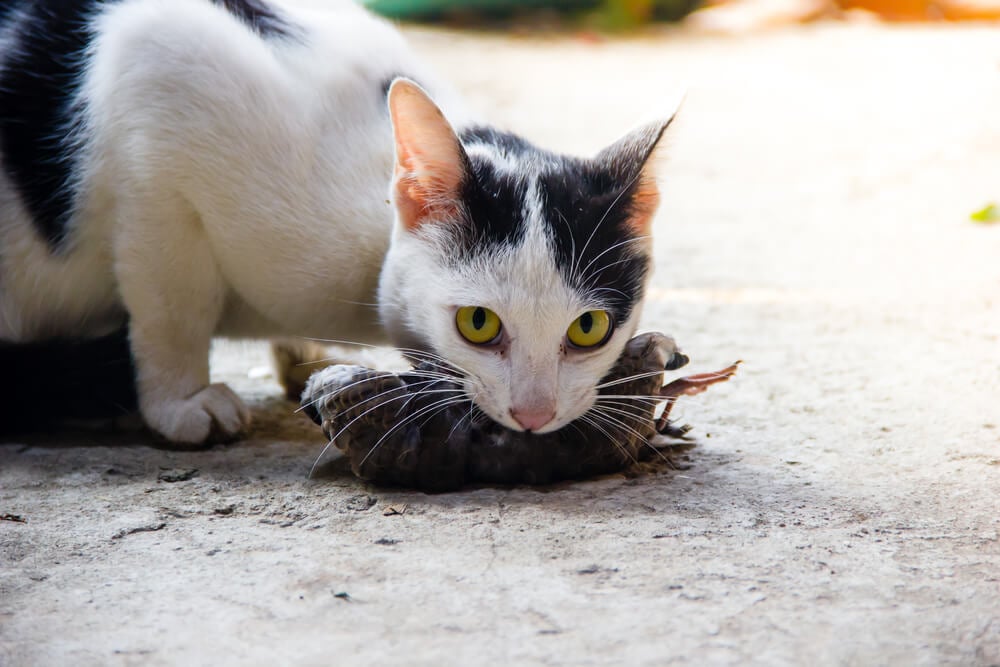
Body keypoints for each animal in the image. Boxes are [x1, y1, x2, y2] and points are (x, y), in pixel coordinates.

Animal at [0, 1, 676, 448]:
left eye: (588, 329)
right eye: (478, 324)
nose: (534, 416)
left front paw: (299, 356)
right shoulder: (158, 94)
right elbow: (175, 305)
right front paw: (180, 400)